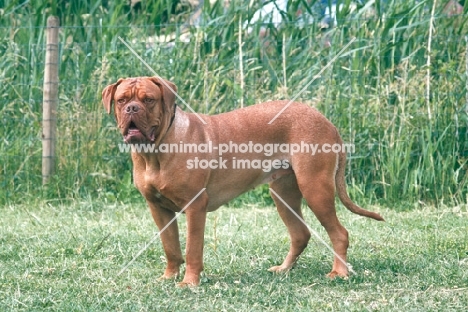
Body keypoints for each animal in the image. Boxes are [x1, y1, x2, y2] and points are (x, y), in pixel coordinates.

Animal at [100, 77, 382, 286]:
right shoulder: (158, 208)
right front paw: (169, 277)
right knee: (300, 234)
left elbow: (192, 249)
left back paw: (340, 273)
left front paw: (189, 283)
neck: (155, 152)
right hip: (283, 195)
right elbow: (171, 247)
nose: (132, 109)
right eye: (121, 100)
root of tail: (327, 122)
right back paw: (283, 269)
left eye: (149, 100)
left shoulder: (195, 206)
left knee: (339, 233)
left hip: (315, 188)